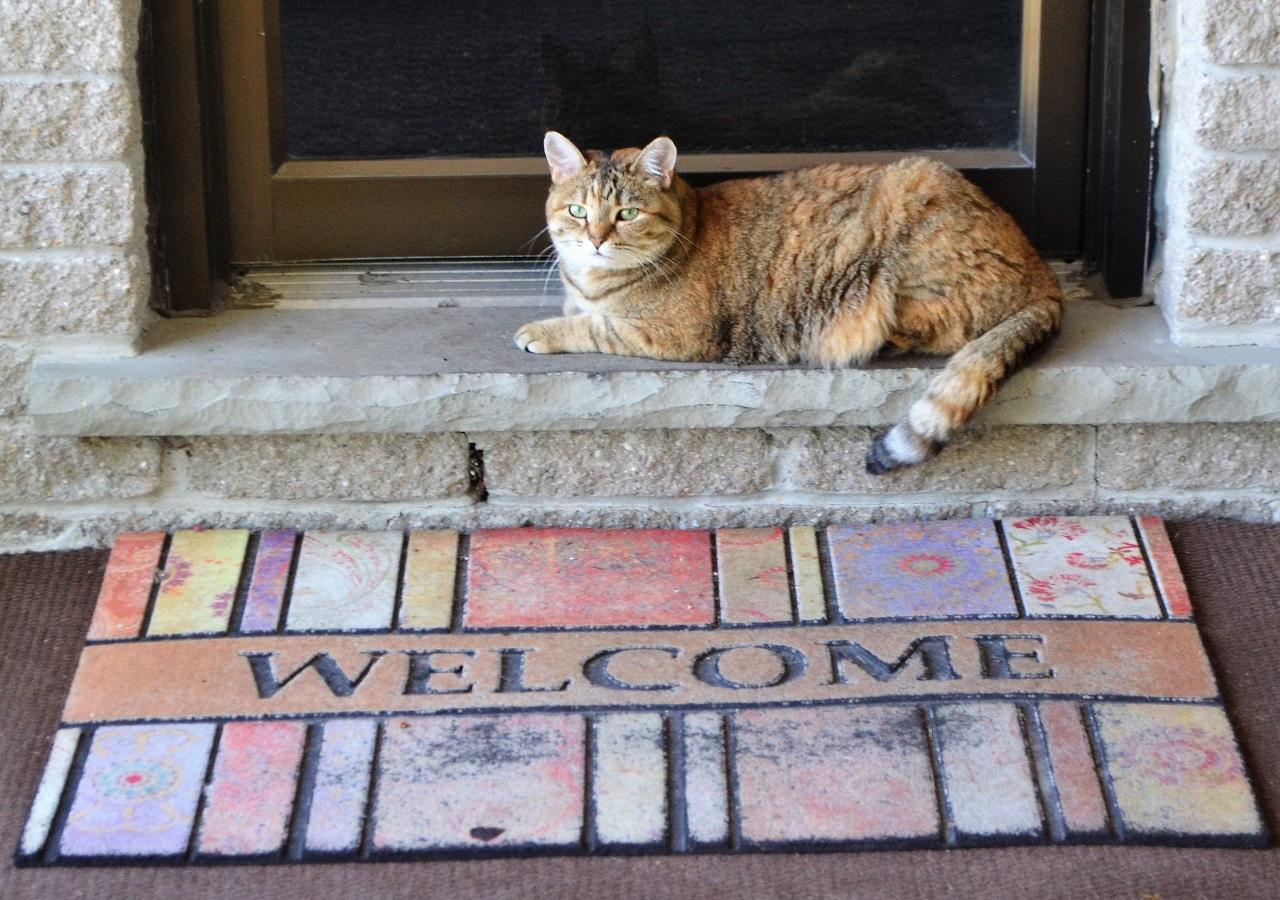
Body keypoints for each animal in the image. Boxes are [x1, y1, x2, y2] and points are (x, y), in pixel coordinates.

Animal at [514, 133, 1064, 476]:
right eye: (578, 210)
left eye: (626, 214)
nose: (596, 239)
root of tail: (1043, 273)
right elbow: (580, 312)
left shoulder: (669, 333)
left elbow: (593, 326)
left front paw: (540, 331)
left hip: (907, 214)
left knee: (941, 325)